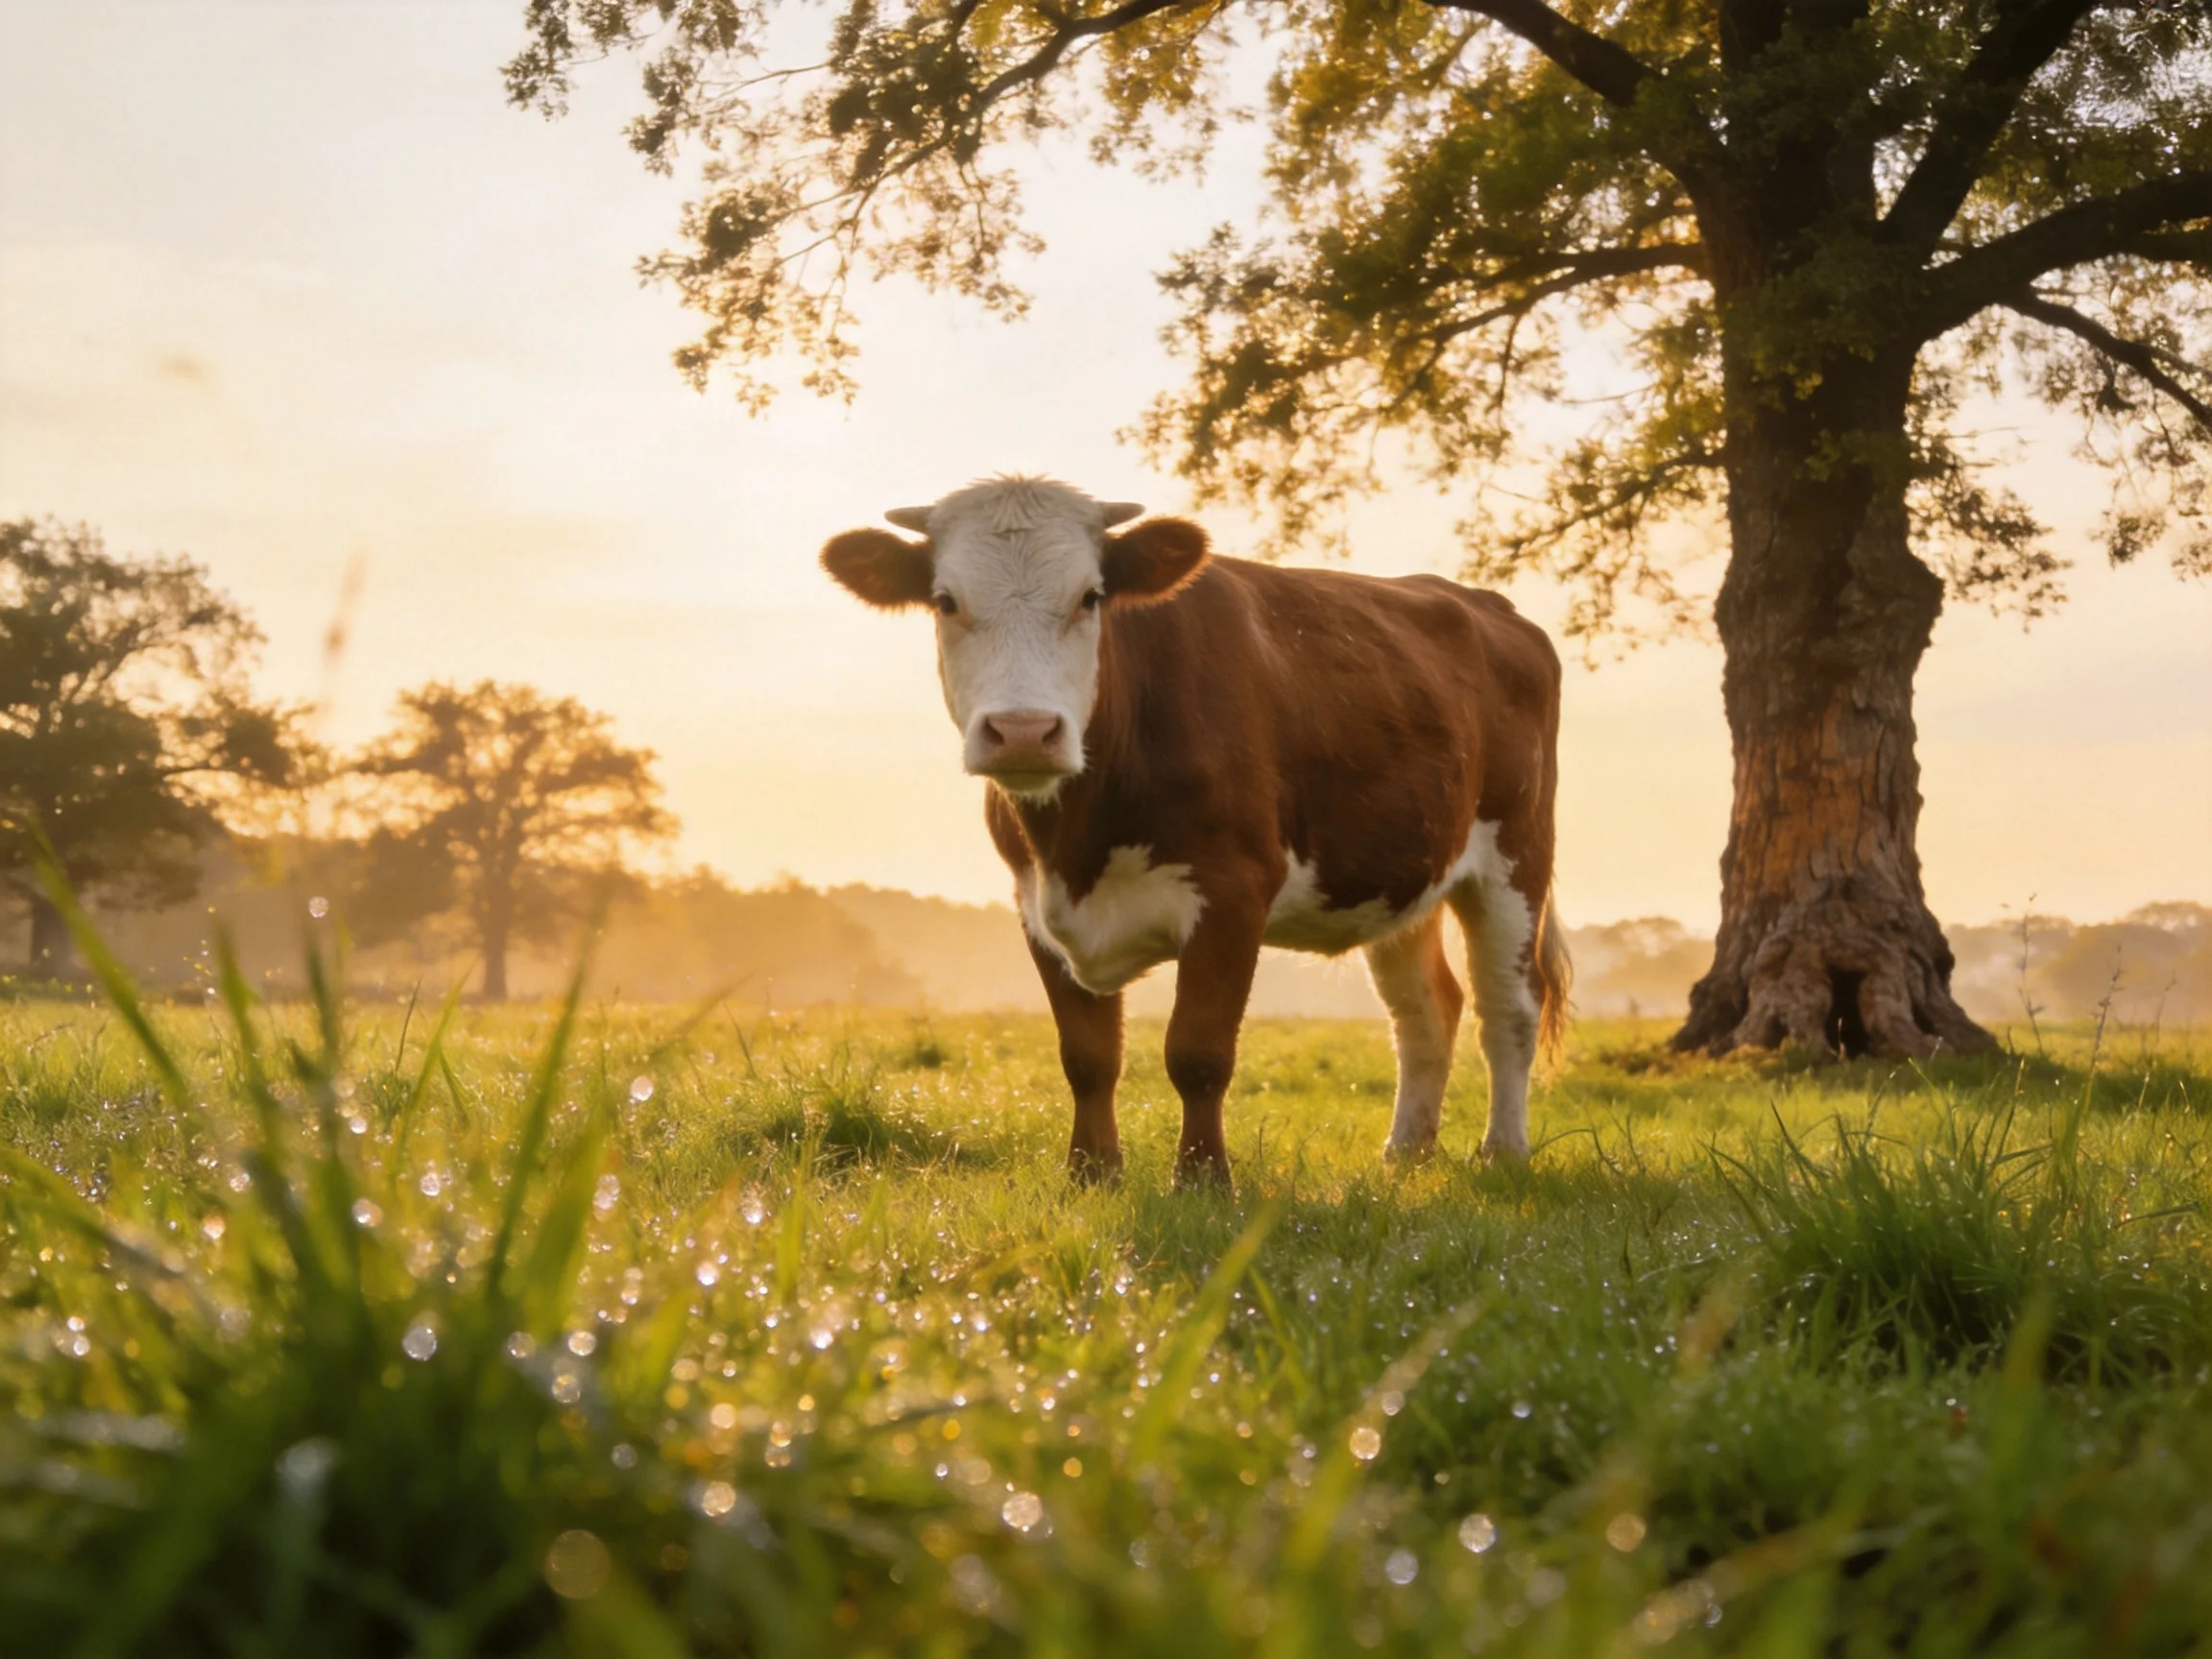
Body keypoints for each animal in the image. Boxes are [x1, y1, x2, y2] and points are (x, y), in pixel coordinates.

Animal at [821, 476, 1568, 1187]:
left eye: (1091, 596)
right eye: (946, 600)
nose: (1025, 731)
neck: (1080, 837)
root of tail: (1488, 606)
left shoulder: (1234, 891)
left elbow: (1198, 1053)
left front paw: (1204, 1180)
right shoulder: (1035, 903)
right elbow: (1088, 1058)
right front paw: (1091, 1174)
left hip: (1515, 858)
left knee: (1509, 1006)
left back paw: (1502, 1153)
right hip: (1399, 874)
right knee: (1425, 1010)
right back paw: (1406, 1154)